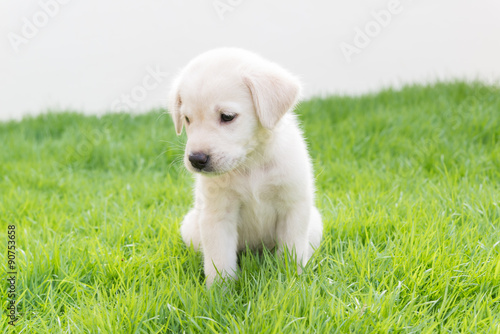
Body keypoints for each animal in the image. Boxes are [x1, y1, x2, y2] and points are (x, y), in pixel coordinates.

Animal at [168, 47, 324, 288]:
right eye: (187, 119)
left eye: (227, 116)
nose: (196, 159)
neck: (252, 164)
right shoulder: (218, 214)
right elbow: (220, 262)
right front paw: (219, 293)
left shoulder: (293, 207)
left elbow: (291, 253)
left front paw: (292, 282)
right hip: (191, 228)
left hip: (315, 224)